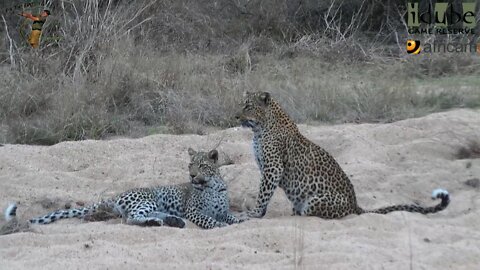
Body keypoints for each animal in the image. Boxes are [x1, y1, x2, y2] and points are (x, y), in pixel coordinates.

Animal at [2, 148, 244, 228]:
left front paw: (239, 221)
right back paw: (157, 222)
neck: (212, 185)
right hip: (147, 199)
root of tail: (115, 196)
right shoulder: (194, 211)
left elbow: (231, 217)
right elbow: (208, 219)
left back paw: (170, 221)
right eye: (190, 165)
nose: (192, 175)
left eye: (202, 165)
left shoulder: (223, 209)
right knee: (131, 218)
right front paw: (218, 225)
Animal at [235, 92, 450, 218]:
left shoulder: (273, 167)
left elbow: (263, 193)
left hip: (314, 201)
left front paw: (253, 213)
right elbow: (265, 192)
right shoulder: (266, 167)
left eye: (247, 106)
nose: (236, 116)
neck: (260, 128)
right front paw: (259, 213)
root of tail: (355, 205)